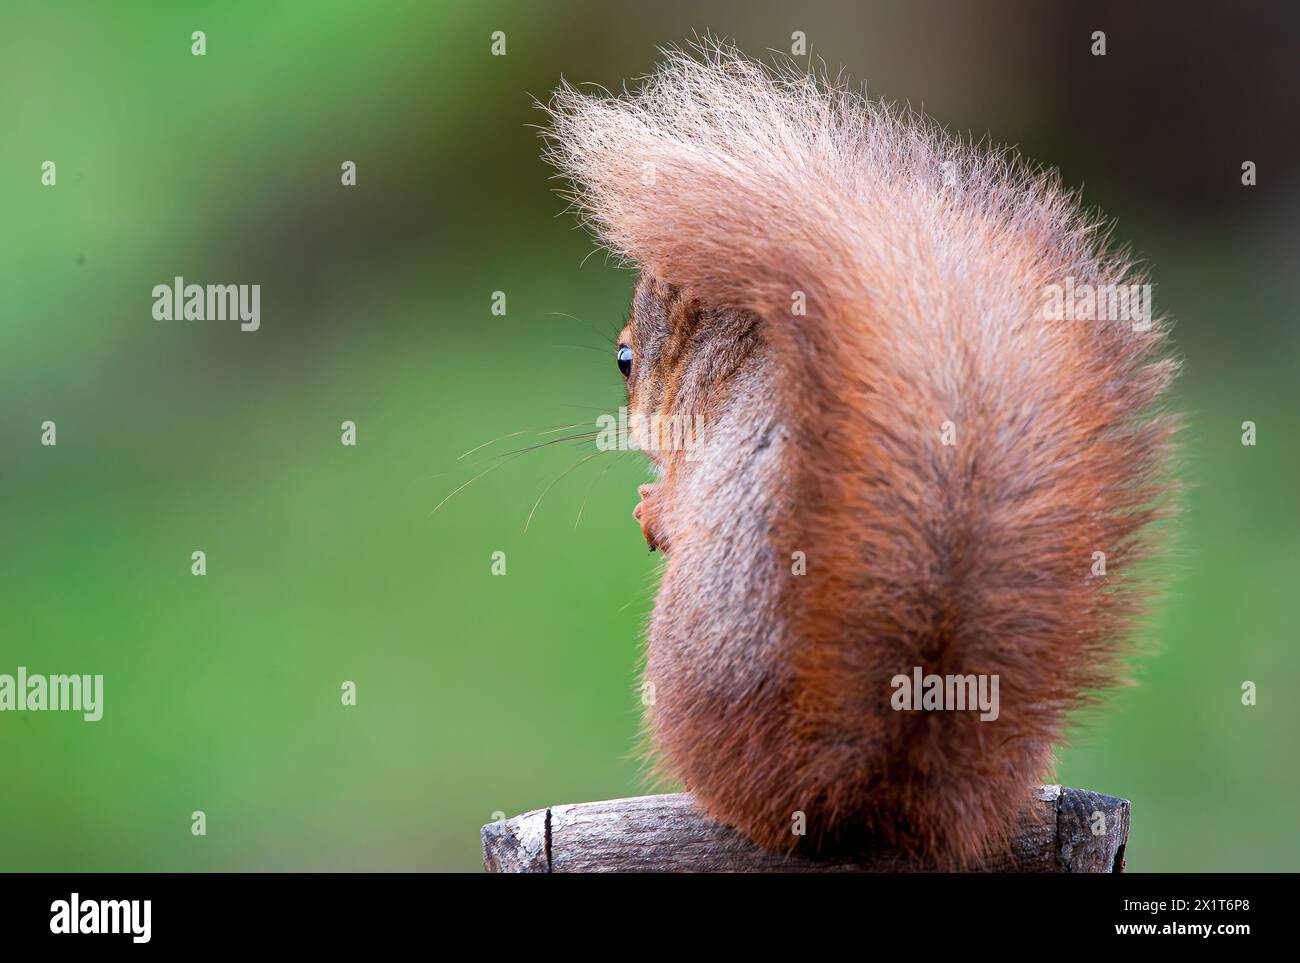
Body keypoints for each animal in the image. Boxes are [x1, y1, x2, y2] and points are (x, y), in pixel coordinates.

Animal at [543, 43, 1178, 868]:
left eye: (625, 359)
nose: (641, 430)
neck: (733, 352)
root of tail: (856, 788)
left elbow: (681, 503)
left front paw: (653, 508)